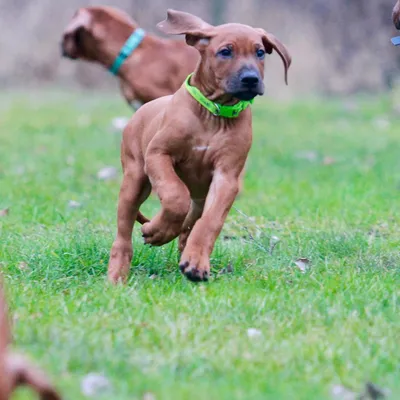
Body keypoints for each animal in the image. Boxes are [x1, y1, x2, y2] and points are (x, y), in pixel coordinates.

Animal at [108, 9, 292, 284]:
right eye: (225, 51)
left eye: (259, 52)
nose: (251, 79)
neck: (214, 114)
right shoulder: (158, 154)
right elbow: (175, 195)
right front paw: (157, 230)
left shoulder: (226, 177)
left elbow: (211, 221)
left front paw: (195, 262)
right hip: (134, 178)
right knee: (124, 233)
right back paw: (118, 274)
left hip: (200, 197)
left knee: (190, 224)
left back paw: (184, 251)